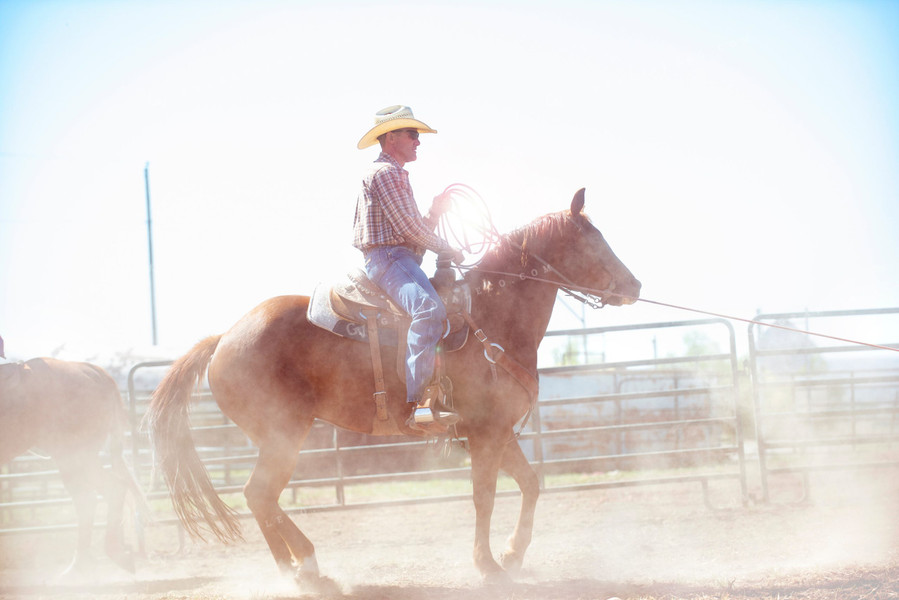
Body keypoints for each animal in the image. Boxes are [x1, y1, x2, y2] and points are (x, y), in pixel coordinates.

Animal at [146, 188, 640, 580]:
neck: (492, 318)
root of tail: (223, 338)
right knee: (259, 495)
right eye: (593, 242)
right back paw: (301, 568)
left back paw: (300, 565)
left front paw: (512, 555)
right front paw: (487, 565)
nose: (635, 285)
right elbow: (484, 496)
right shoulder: (485, 433)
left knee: (262, 498)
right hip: (283, 434)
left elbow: (532, 484)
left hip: (277, 437)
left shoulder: (499, 432)